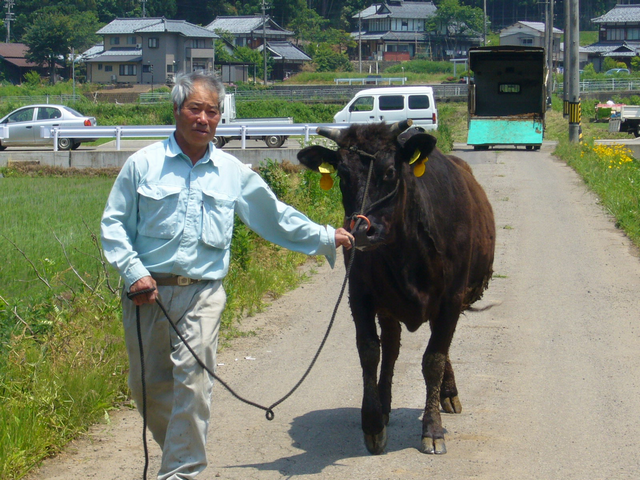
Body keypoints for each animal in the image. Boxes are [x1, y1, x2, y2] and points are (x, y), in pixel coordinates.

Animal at [298, 120, 498, 454]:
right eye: (342, 174)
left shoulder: (451, 300)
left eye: (391, 171)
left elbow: (433, 359)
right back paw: (385, 403)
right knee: (391, 348)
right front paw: (373, 423)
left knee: (438, 347)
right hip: (389, 307)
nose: (361, 231)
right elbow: (370, 352)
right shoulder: (360, 296)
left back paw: (447, 392)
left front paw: (432, 429)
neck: (406, 250)